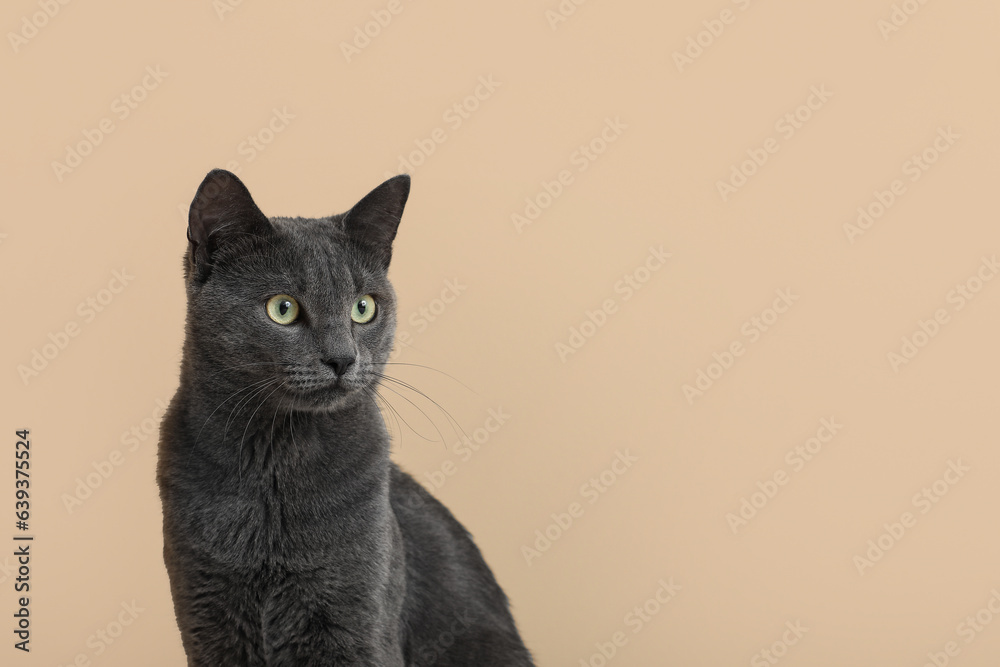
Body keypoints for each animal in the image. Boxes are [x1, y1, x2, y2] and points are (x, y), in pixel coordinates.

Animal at [156, 172, 536, 667]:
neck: (276, 463)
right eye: (282, 308)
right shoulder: (206, 613)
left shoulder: (356, 614)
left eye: (363, 307)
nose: (342, 358)